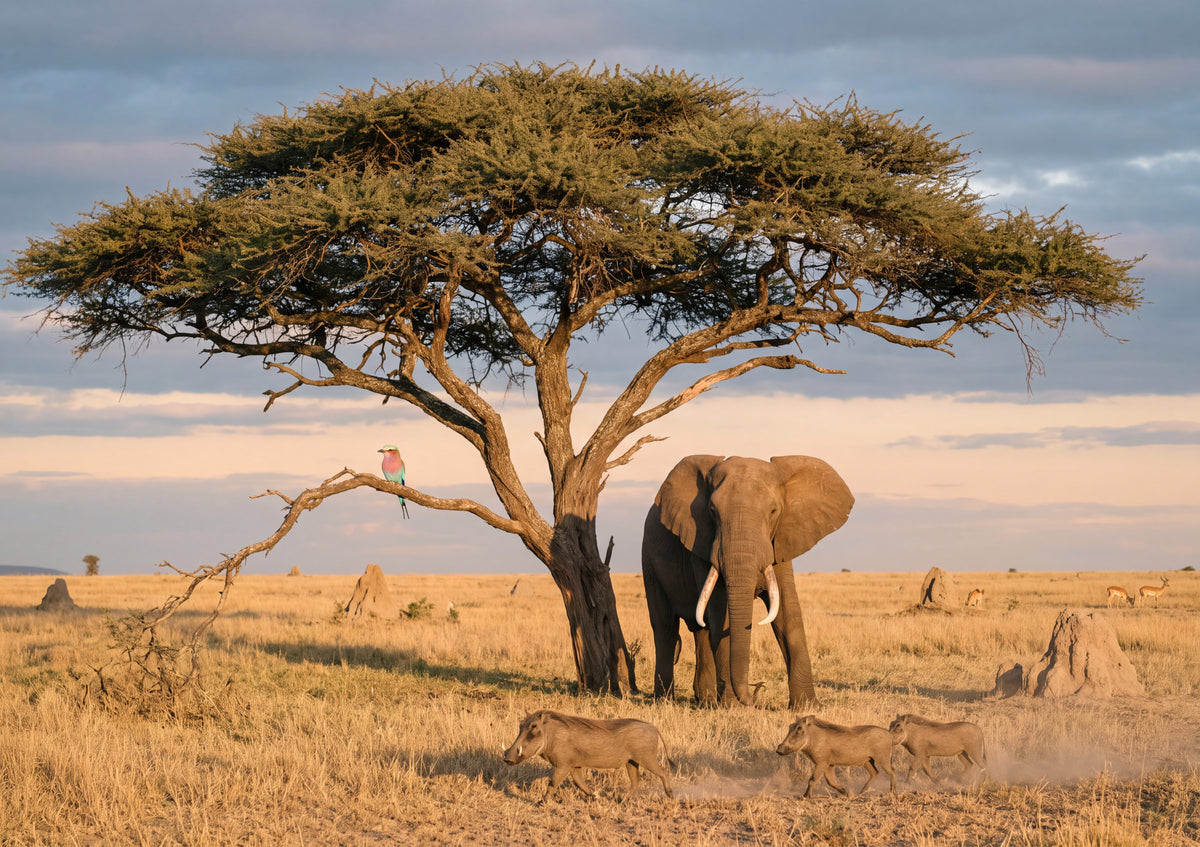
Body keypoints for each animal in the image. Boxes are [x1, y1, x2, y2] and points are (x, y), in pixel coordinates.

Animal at [641, 455, 854, 708]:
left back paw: (707, 702)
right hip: (649, 561)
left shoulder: (780, 541)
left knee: (701, 630)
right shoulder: (700, 542)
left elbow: (787, 612)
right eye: (712, 511)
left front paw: (807, 706)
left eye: (773, 511)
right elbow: (720, 612)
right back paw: (665, 701)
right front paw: (733, 707)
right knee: (665, 628)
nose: (756, 691)